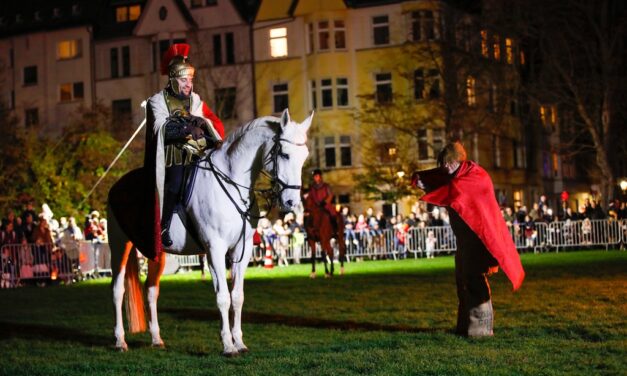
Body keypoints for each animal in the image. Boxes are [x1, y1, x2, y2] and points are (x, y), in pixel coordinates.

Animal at [110, 109, 314, 356]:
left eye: (304, 156)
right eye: (284, 154)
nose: (292, 202)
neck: (232, 182)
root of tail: (117, 185)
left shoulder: (241, 251)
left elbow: (237, 296)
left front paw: (239, 342)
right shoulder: (215, 249)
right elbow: (223, 297)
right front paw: (228, 345)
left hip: (156, 253)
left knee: (151, 291)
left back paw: (156, 339)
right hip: (119, 245)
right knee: (117, 290)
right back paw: (120, 341)